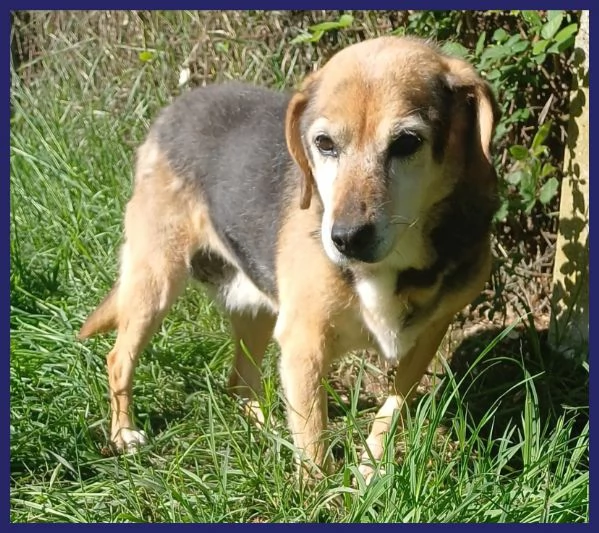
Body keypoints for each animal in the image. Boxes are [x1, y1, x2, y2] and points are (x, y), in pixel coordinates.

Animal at [79, 35, 502, 480]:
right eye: (324, 143)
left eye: (407, 142)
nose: (345, 239)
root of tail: (176, 107)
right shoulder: (304, 345)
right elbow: (314, 445)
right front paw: (321, 492)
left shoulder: (427, 338)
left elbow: (391, 411)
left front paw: (371, 470)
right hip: (155, 281)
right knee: (118, 357)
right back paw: (124, 434)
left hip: (255, 309)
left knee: (239, 381)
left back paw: (267, 427)